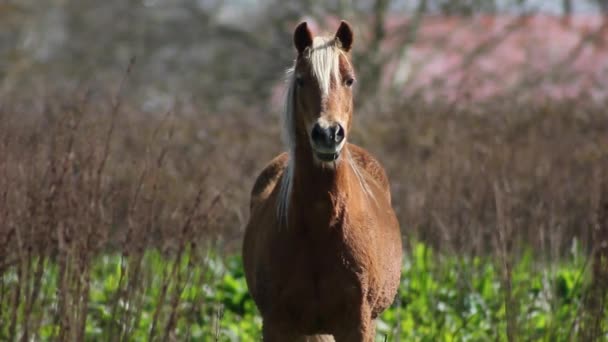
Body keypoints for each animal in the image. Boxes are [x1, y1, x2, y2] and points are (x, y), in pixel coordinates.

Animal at [242, 20, 404, 340]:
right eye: (302, 80)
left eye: (349, 80)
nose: (328, 134)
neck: (322, 222)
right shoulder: (277, 323)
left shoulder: (358, 324)